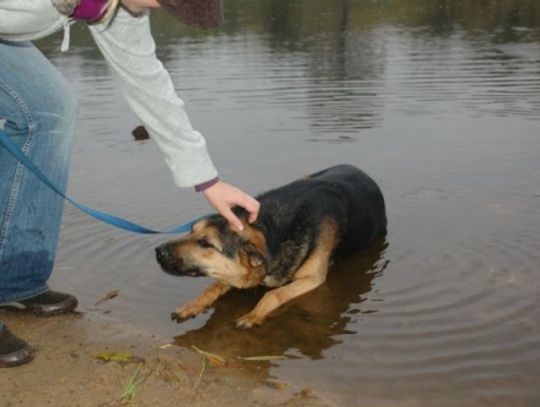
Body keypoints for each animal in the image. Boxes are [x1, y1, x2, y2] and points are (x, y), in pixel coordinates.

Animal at [154, 164, 386, 330]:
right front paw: (190, 306)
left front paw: (253, 315)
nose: (158, 252)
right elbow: (212, 286)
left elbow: (273, 294)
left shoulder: (312, 278)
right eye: (191, 230)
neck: (272, 229)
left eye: (206, 243)